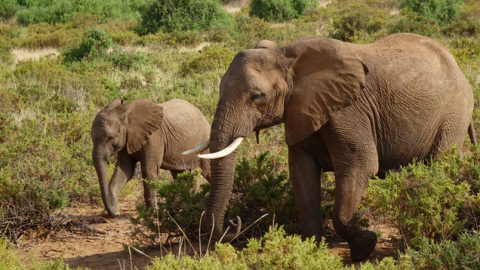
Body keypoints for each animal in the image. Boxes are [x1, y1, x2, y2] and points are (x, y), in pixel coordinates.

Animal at [184, 33, 476, 262]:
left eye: (257, 96)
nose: (233, 223)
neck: (286, 56)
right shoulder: (300, 113)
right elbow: (302, 176)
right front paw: (311, 252)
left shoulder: (349, 112)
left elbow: (361, 167)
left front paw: (365, 247)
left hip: (455, 112)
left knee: (441, 161)